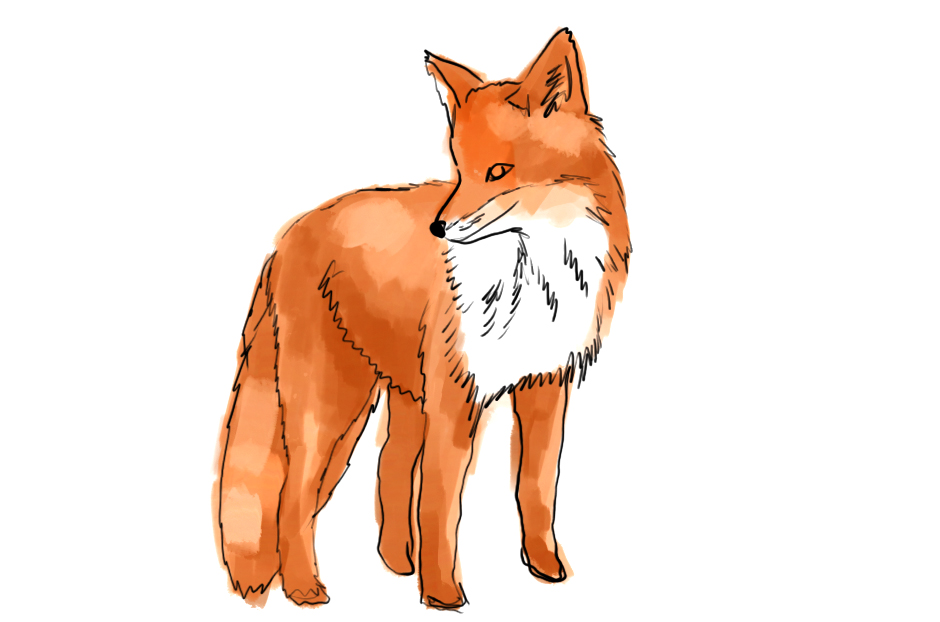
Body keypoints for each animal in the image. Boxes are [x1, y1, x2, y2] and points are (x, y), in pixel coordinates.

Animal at [214, 27, 631, 610]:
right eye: (458, 170)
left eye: (498, 172)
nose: (440, 228)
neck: (532, 275)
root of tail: (286, 237)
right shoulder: (457, 397)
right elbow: (441, 508)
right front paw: (443, 594)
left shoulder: (546, 386)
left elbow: (536, 488)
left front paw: (546, 568)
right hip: (333, 402)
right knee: (294, 496)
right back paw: (305, 588)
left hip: (403, 395)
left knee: (387, 468)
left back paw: (396, 564)